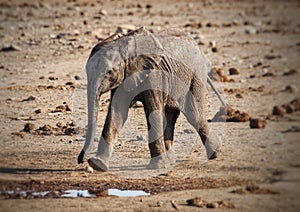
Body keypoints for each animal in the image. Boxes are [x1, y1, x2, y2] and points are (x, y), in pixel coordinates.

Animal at [77, 27, 218, 171]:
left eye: (109, 72)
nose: (80, 160)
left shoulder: (154, 74)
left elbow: (153, 111)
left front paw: (157, 166)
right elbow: (117, 113)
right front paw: (97, 164)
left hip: (196, 76)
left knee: (193, 114)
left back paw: (214, 154)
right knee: (171, 115)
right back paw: (172, 160)